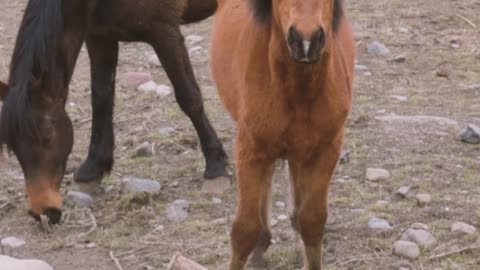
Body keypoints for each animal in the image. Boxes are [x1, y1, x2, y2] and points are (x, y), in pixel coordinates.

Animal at [0, 0, 229, 224]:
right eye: (12, 146)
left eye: (47, 136)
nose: (43, 212)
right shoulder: (100, 37)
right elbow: (101, 99)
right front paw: (93, 168)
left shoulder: (165, 31)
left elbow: (189, 98)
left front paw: (216, 166)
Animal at [212, 0, 354, 268]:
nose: (306, 40)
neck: (298, 94)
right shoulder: (250, 149)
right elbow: (244, 229)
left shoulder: (326, 149)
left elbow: (312, 221)